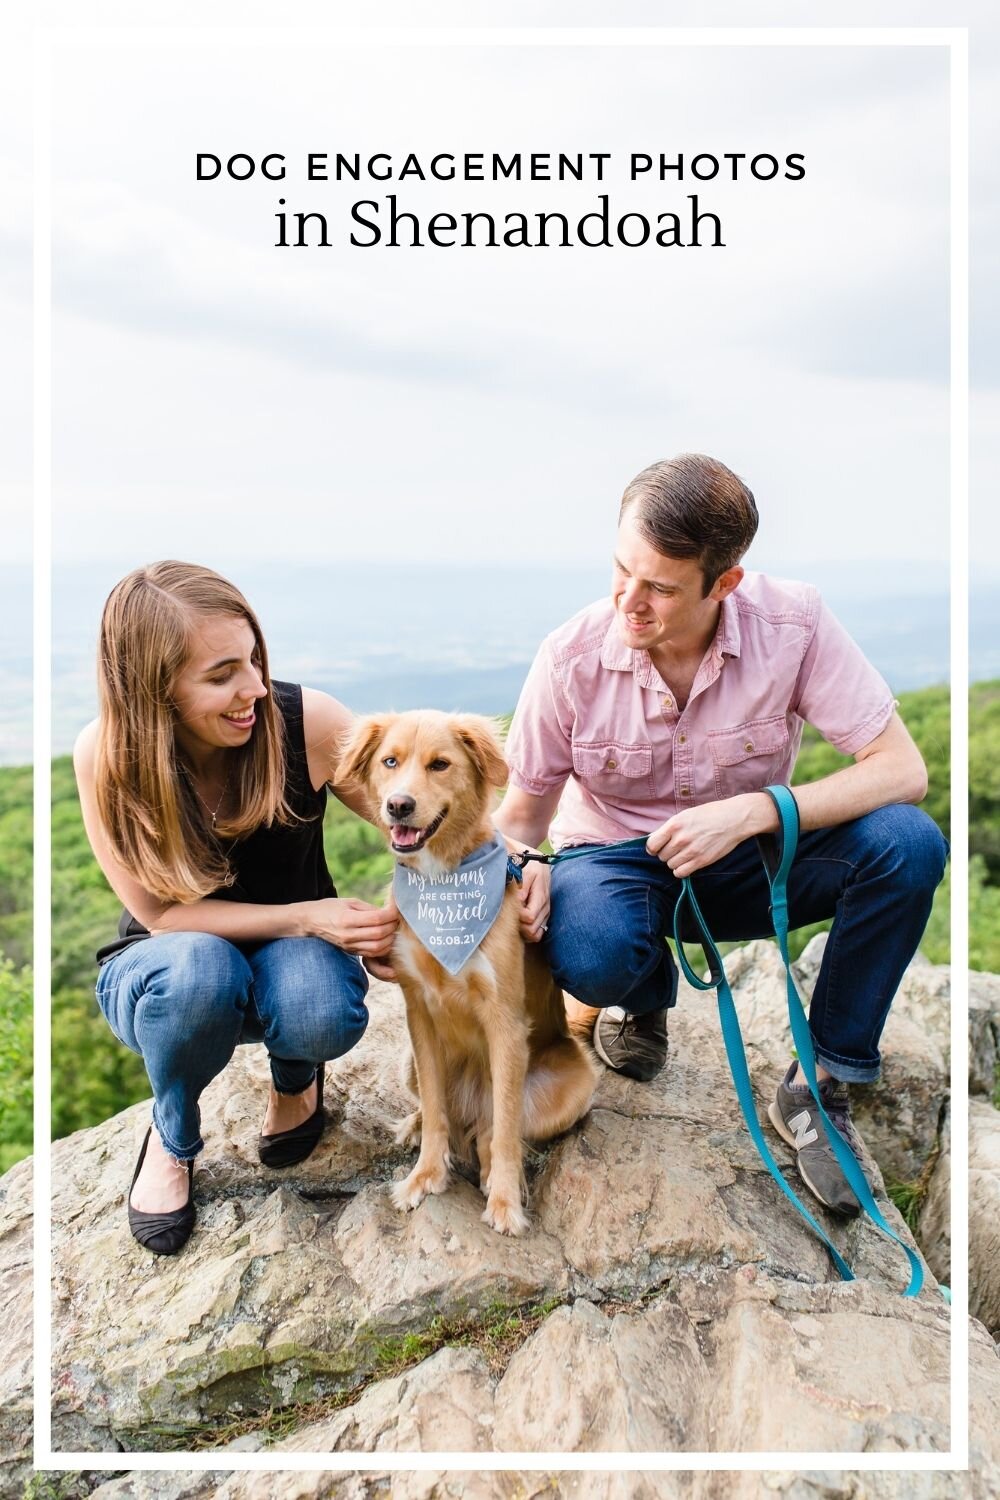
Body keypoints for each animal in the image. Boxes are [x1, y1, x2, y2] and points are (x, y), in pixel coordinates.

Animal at [340, 708, 599, 1236]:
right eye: (390, 761)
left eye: (440, 764)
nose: (399, 806)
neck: (444, 883)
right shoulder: (418, 1012)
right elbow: (437, 1110)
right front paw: (425, 1175)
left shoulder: (504, 1019)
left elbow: (504, 1129)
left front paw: (504, 1202)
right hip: (409, 1063)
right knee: (442, 1111)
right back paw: (415, 1127)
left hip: (573, 1084)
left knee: (490, 1129)